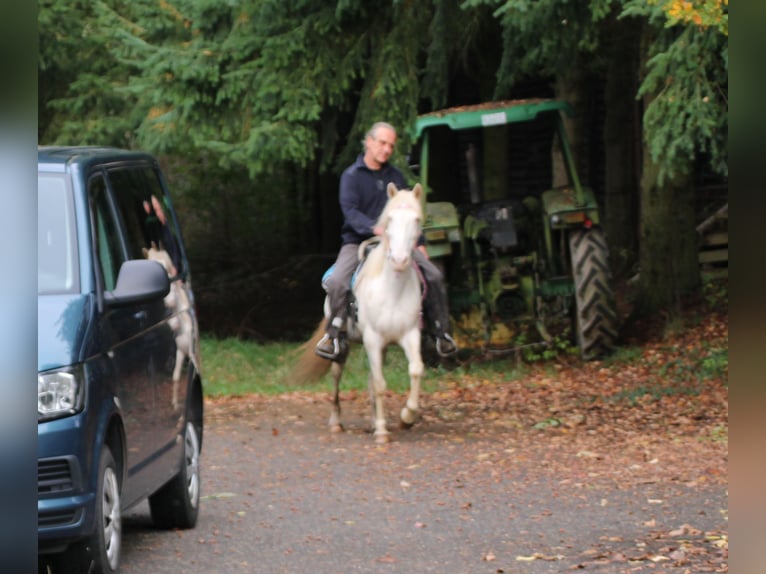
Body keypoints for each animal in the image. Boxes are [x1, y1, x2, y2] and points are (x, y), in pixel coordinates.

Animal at [296, 184, 426, 446]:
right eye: (390, 219)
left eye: (416, 220)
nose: (399, 260)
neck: (393, 289)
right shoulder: (373, 339)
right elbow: (379, 383)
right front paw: (383, 433)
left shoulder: (409, 335)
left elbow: (415, 369)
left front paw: (406, 417)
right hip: (342, 345)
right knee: (337, 377)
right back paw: (336, 422)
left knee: (370, 380)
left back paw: (374, 421)